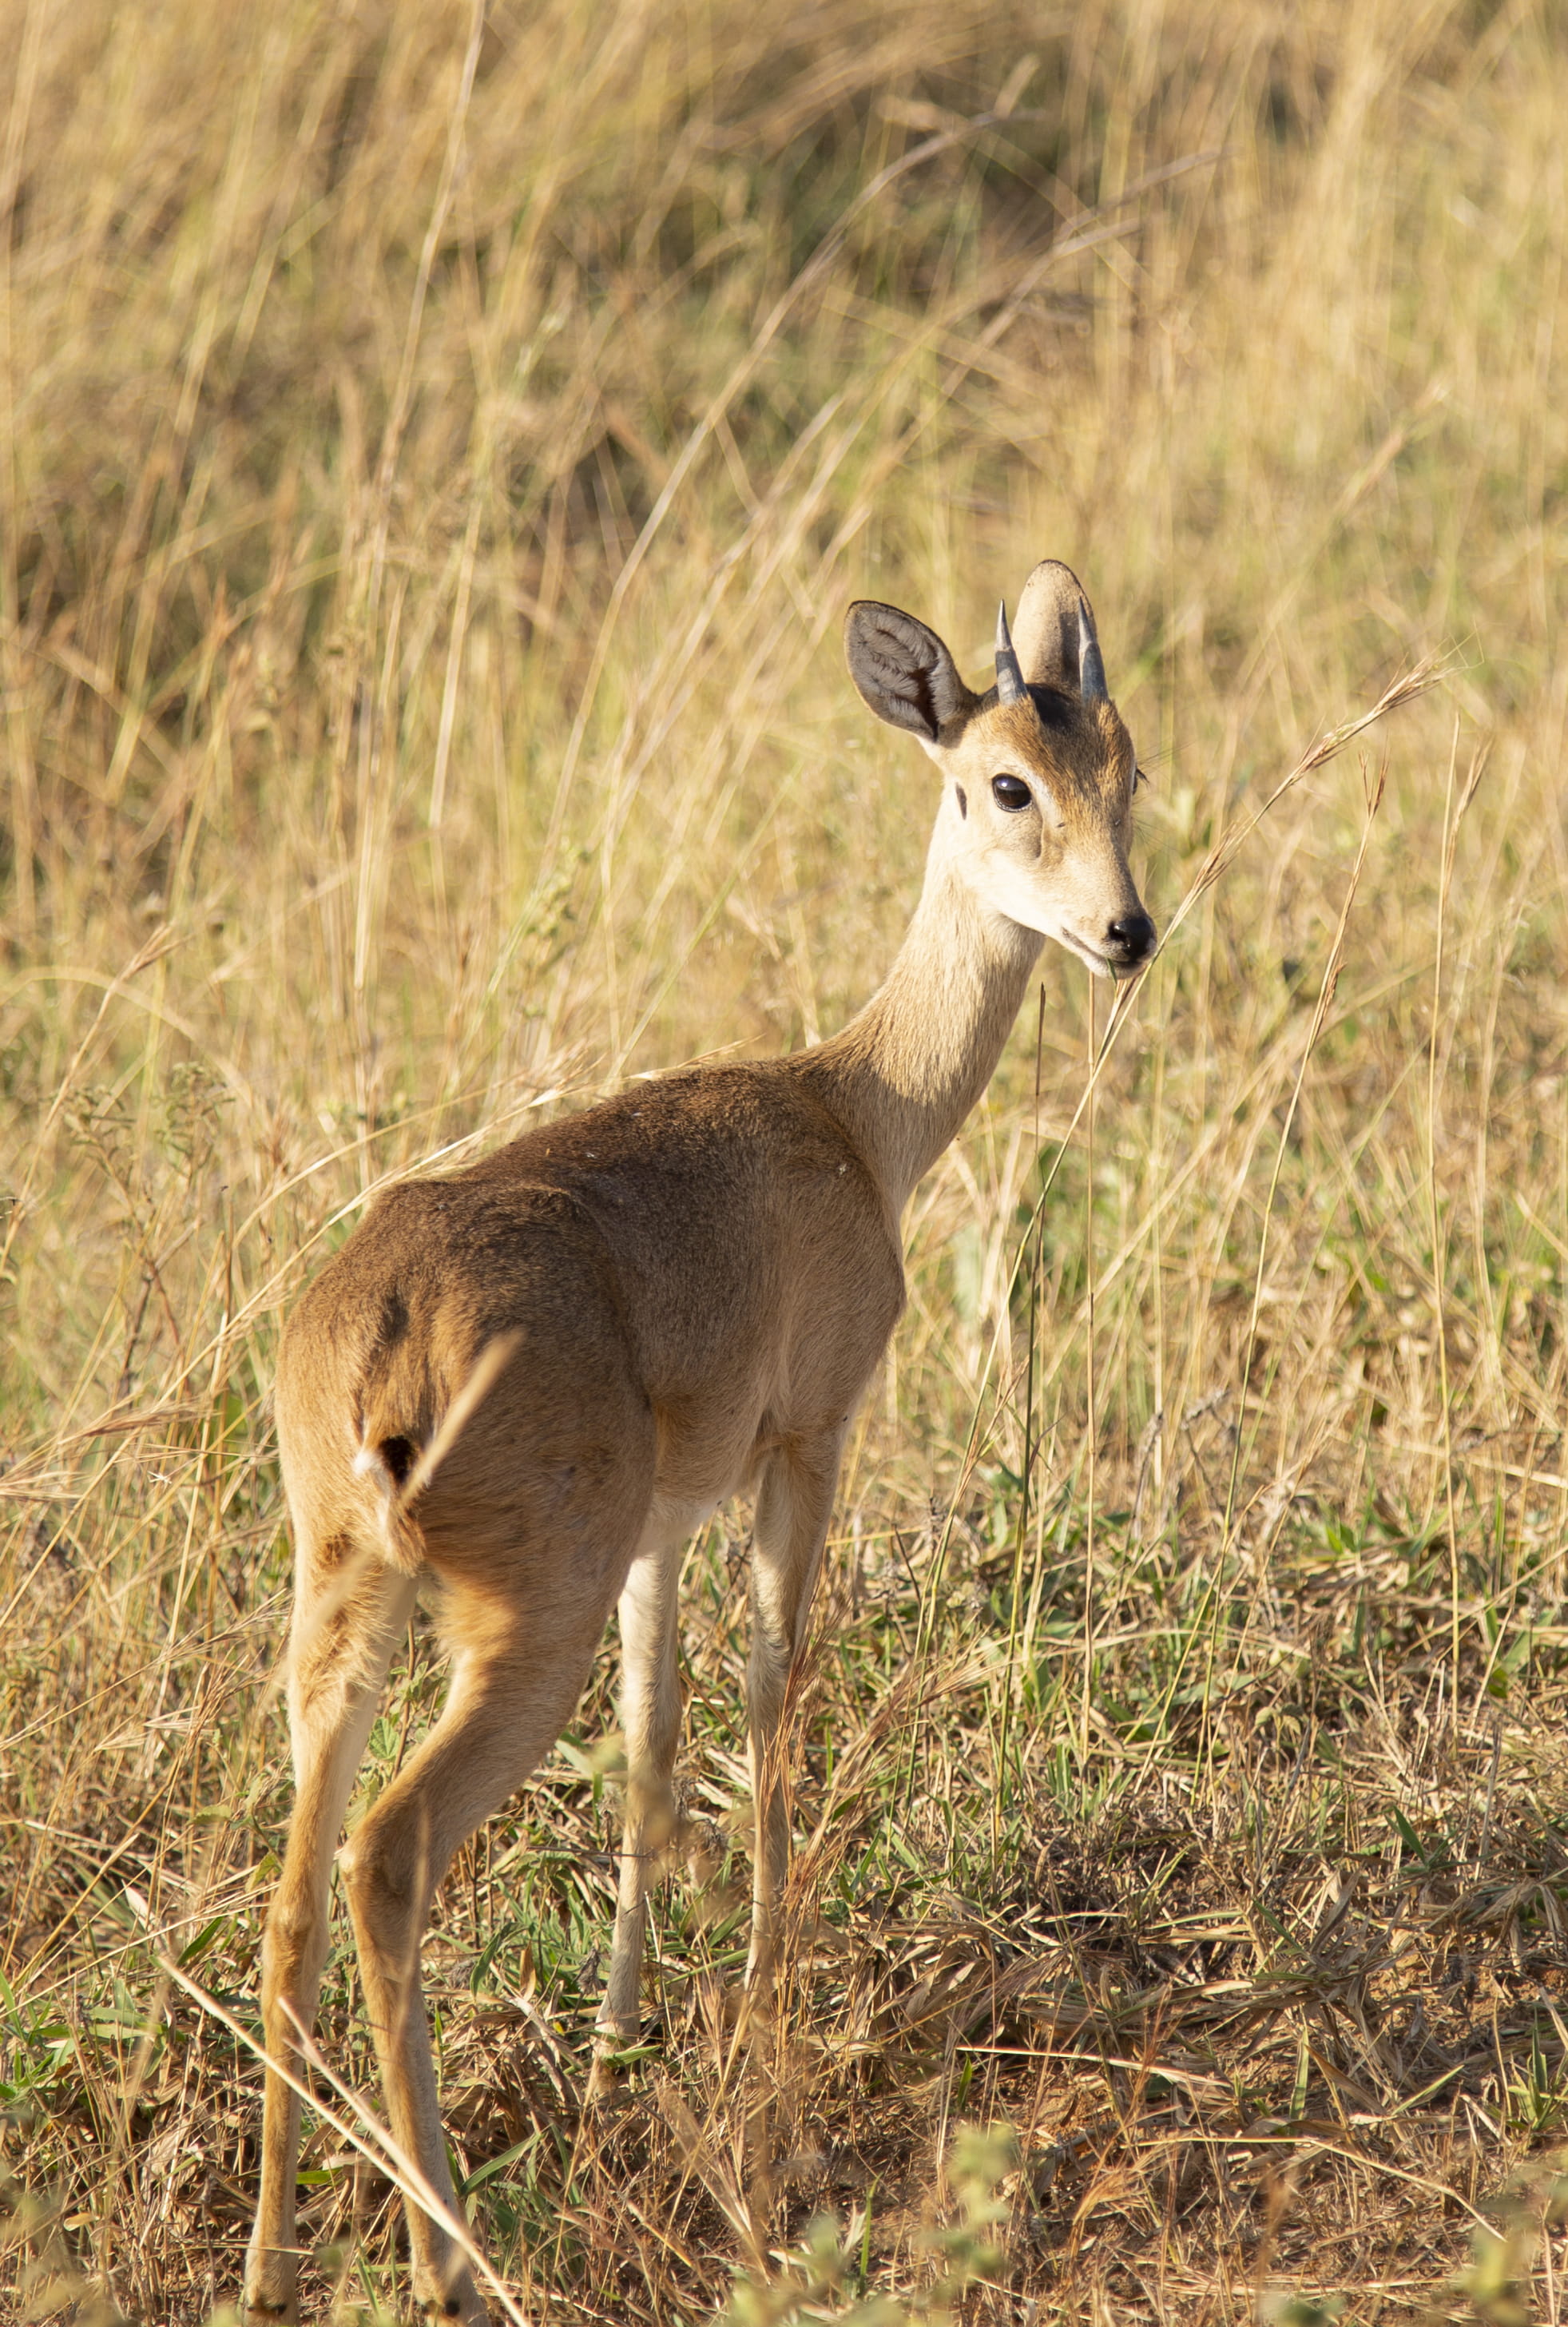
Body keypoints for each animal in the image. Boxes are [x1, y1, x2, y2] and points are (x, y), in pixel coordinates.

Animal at [244, 560, 1154, 2324]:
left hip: (345, 1615)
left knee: (291, 1892)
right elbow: (775, 1711)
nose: (1124, 930)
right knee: (388, 1857)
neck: (853, 1112)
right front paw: (768, 2052)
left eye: (1121, 763)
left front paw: (615, 2056)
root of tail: (377, 1333)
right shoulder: (805, 1443)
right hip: (513, 1628)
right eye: (1001, 780)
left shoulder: (662, 1528)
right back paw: (448, 2256)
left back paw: (270, 2262)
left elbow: (658, 1752)